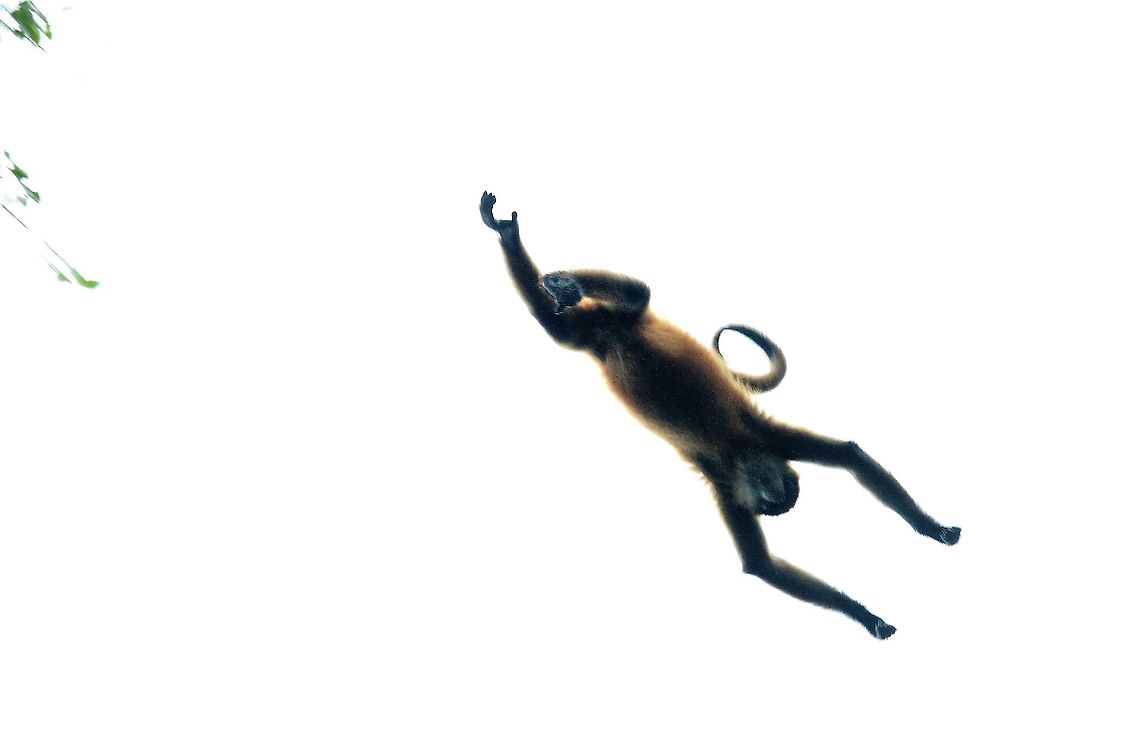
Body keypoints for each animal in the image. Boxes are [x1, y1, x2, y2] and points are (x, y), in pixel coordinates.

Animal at [479, 191, 959, 639]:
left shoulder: (728, 478)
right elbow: (846, 457)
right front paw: (882, 590)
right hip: (630, 316)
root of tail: (610, 334)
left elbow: (769, 554)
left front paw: (884, 591)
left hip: (589, 335)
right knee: (636, 292)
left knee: (559, 326)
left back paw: (514, 244)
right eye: (769, 500)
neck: (736, 452)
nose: (766, 502)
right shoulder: (752, 455)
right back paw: (550, 270)